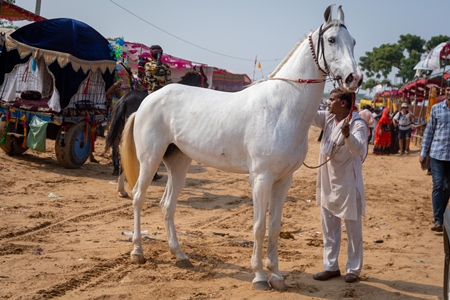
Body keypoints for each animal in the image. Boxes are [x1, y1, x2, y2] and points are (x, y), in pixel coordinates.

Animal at [119, 4, 362, 290]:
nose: (354, 78)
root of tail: (147, 100)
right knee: (138, 197)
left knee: (167, 205)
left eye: (353, 42)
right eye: (332, 40)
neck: (282, 107)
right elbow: (259, 226)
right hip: (150, 159)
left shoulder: (284, 180)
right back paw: (138, 252)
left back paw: (180, 255)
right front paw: (259, 276)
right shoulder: (261, 178)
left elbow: (275, 226)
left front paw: (276, 276)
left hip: (178, 162)